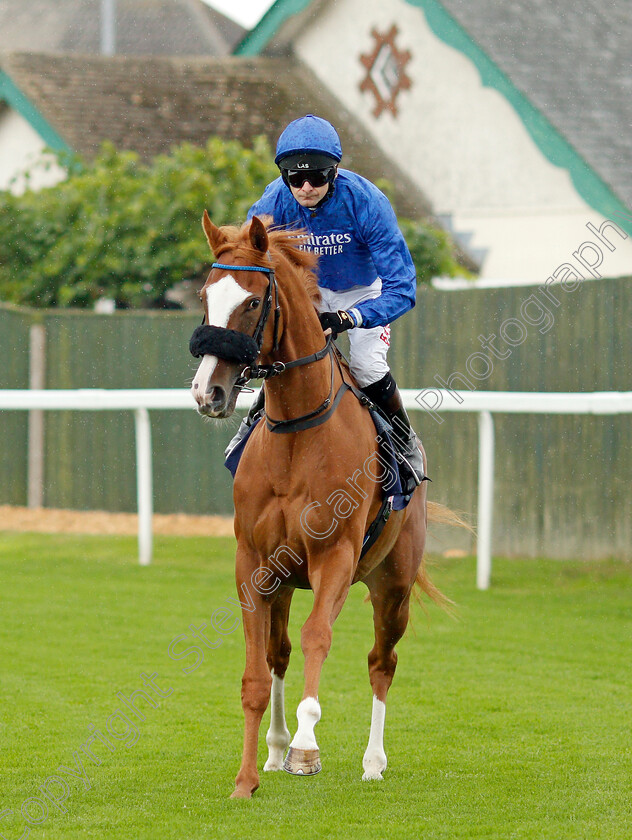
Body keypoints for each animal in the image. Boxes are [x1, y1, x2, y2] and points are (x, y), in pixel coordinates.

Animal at [190, 212, 446, 800]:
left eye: (253, 302)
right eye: (205, 296)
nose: (207, 392)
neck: (296, 435)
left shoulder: (336, 556)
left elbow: (318, 636)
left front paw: (307, 747)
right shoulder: (254, 564)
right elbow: (256, 674)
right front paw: (247, 778)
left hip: (393, 584)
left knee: (381, 661)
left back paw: (372, 760)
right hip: (286, 581)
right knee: (280, 653)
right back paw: (275, 750)